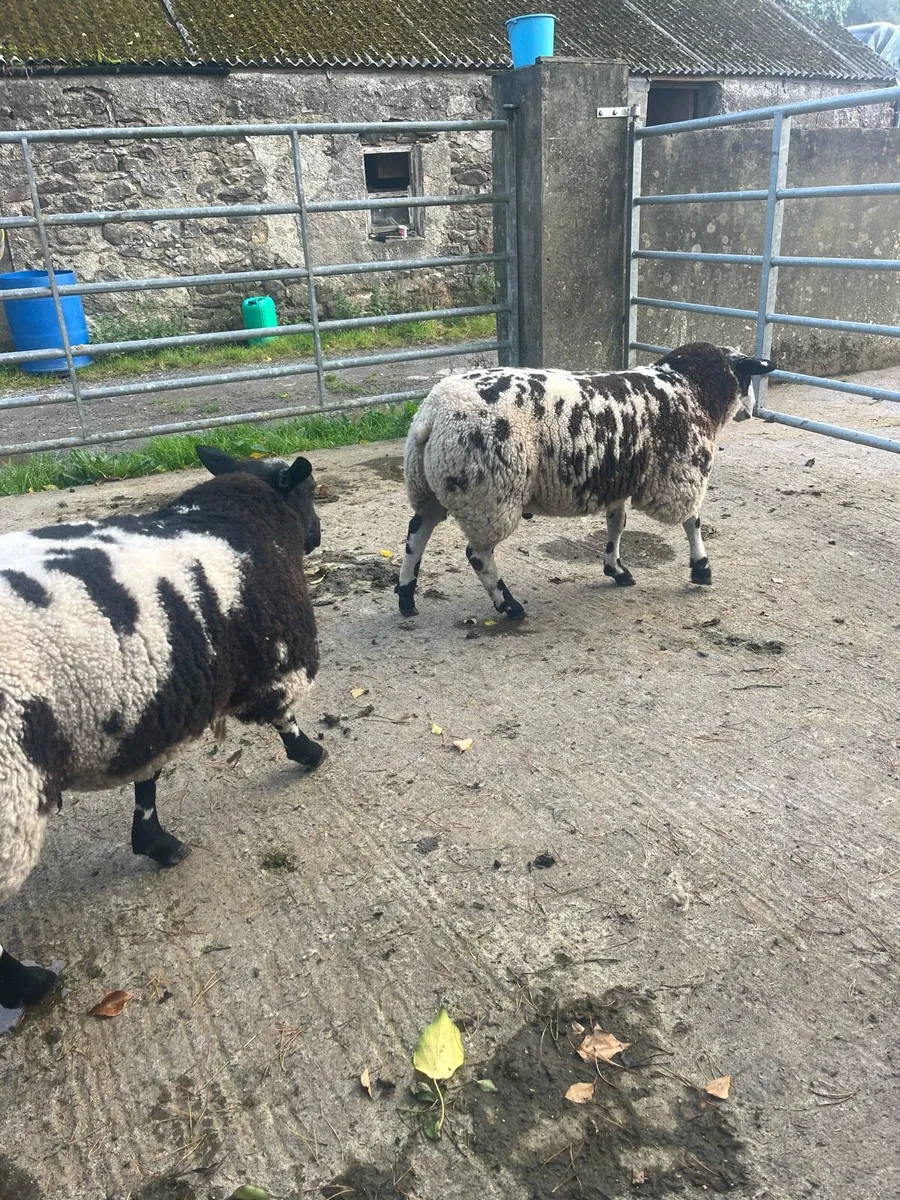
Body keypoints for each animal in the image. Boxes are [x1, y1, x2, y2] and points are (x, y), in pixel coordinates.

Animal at [0, 446, 324, 1011]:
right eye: (307, 492)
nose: (319, 535)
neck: (238, 520)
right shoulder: (276, 658)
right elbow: (284, 718)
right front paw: (309, 754)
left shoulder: (155, 695)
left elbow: (147, 781)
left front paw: (155, 842)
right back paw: (30, 985)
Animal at [395, 342, 775, 619]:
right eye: (747, 378)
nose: (752, 411)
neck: (692, 388)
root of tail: (431, 415)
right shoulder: (679, 473)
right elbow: (692, 521)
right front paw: (701, 569)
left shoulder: (619, 479)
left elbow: (617, 524)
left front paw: (616, 569)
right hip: (489, 494)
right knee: (477, 554)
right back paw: (509, 605)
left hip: (431, 485)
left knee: (417, 534)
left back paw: (406, 597)